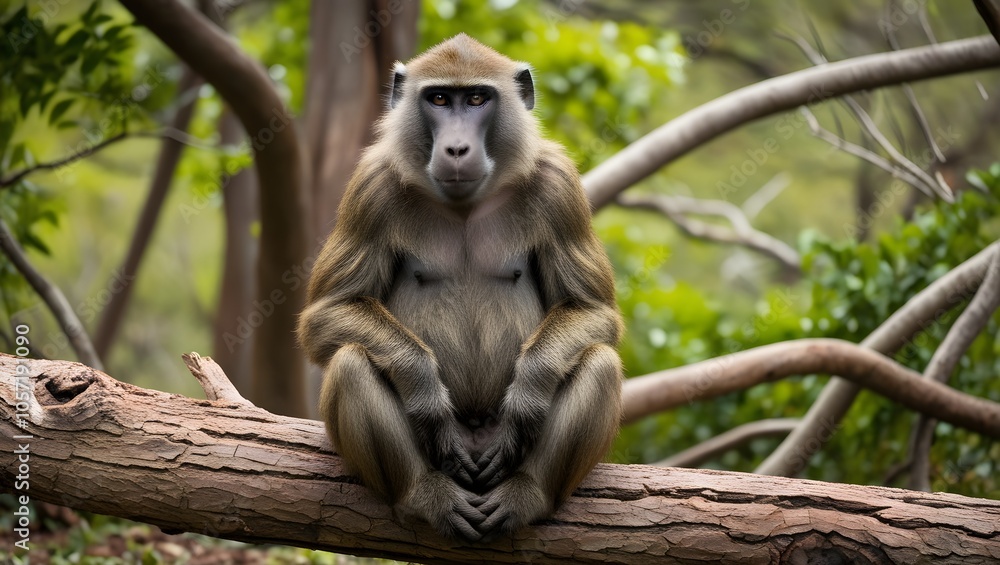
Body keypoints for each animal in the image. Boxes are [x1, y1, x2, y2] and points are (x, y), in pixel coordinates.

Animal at [297, 33, 623, 542]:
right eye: (437, 99)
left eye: (475, 99)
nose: (455, 148)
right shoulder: (371, 185)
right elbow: (326, 314)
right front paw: (425, 393)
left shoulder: (558, 185)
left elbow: (593, 311)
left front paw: (527, 398)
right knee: (350, 362)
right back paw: (423, 493)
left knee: (600, 362)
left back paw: (528, 493)